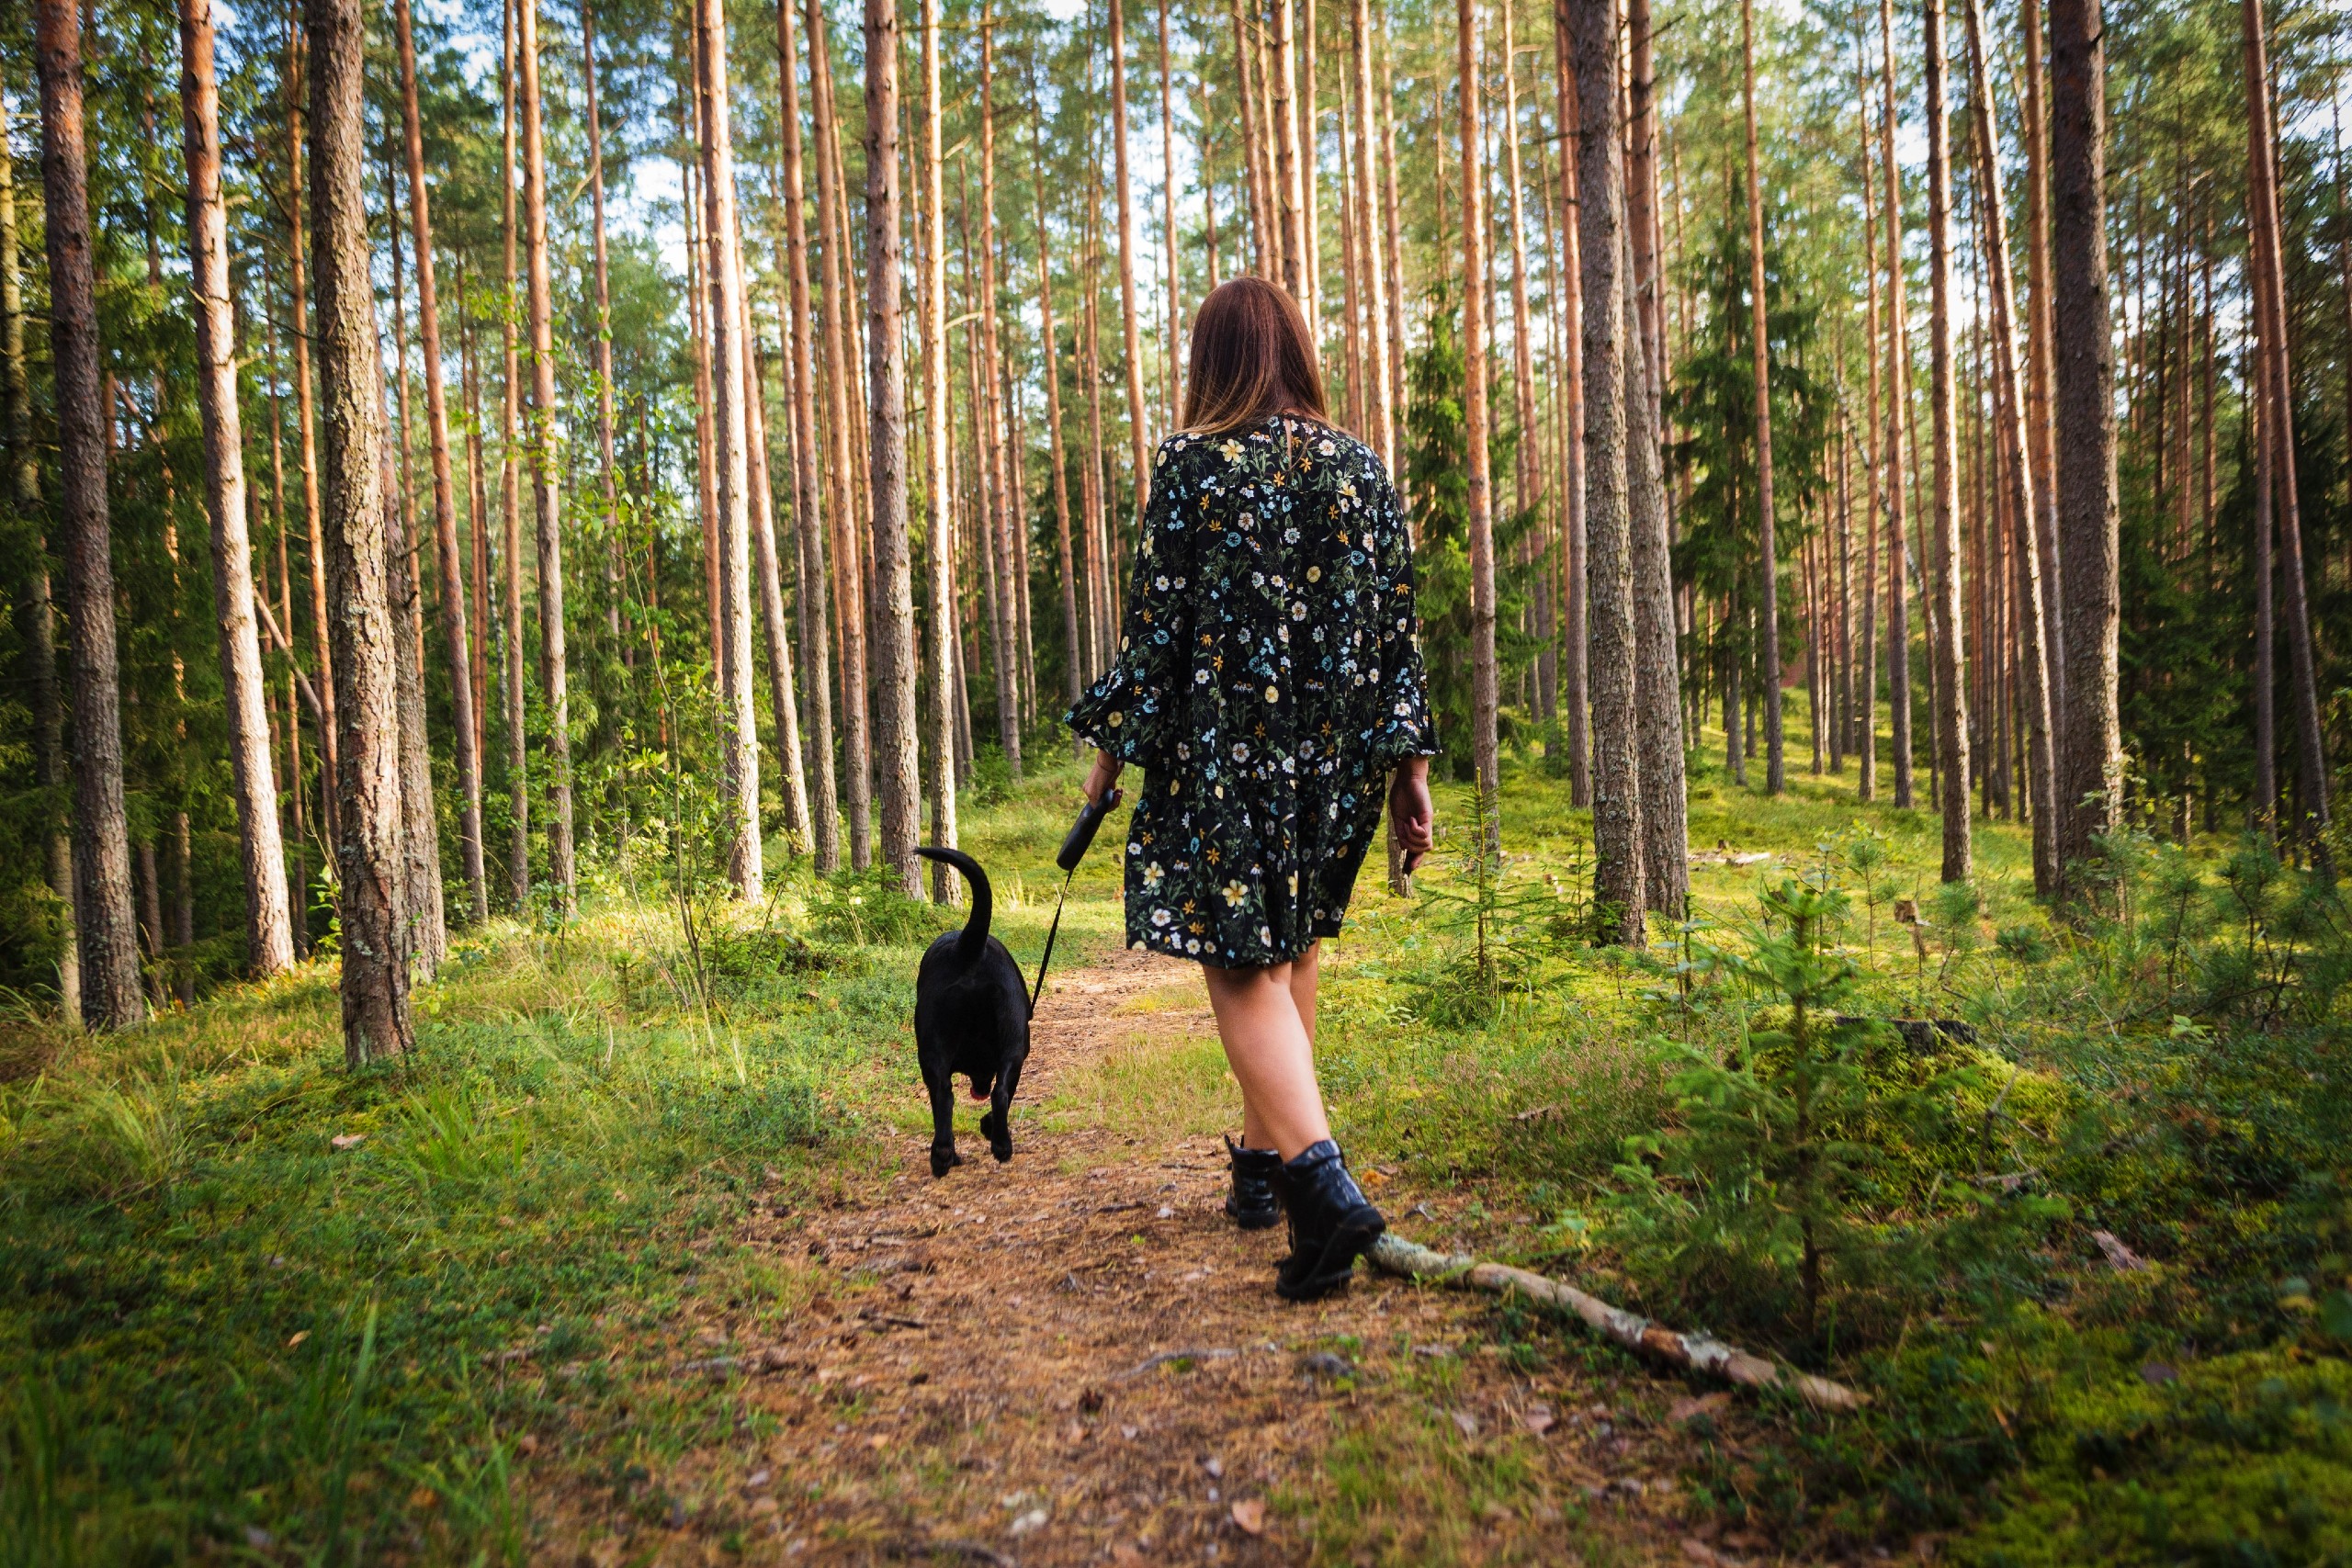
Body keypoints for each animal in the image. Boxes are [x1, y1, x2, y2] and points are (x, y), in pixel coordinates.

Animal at [917, 846, 1030, 1175]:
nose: (978, 1087)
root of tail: (967, 947)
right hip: (1012, 1046)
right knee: (994, 1093)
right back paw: (992, 1146)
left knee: (949, 1096)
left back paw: (949, 1154)